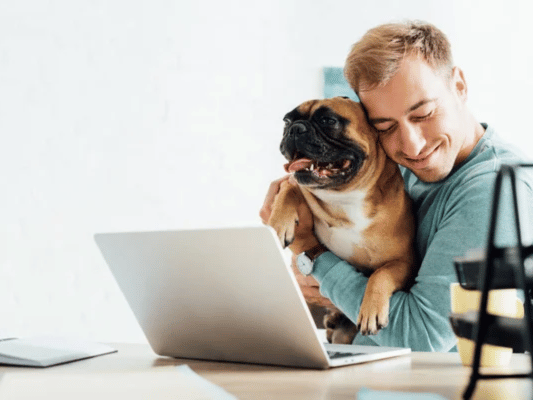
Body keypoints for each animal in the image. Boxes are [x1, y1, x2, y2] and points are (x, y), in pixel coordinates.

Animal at [266, 97, 416, 344]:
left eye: (328, 120)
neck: (346, 197)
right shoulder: (299, 184)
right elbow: (290, 187)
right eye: (286, 121)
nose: (295, 128)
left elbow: (381, 274)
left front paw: (371, 310)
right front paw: (278, 223)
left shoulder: (403, 263)